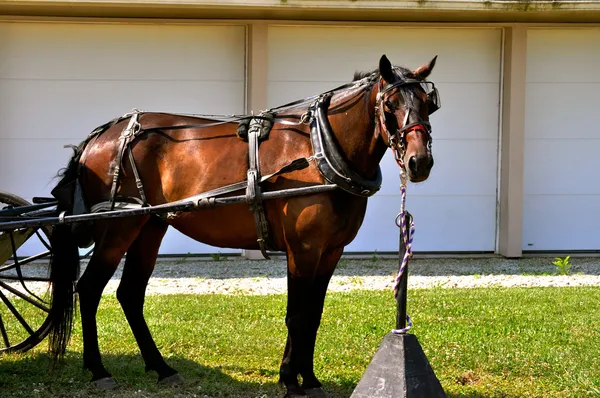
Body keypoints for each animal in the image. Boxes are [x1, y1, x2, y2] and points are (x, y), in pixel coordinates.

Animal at [45, 53, 436, 398]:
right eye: (391, 105)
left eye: (428, 104)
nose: (420, 163)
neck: (320, 150)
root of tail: (100, 137)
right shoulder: (303, 250)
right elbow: (297, 315)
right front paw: (290, 381)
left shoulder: (330, 251)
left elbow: (313, 315)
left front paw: (308, 379)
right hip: (120, 228)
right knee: (90, 289)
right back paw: (99, 370)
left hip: (150, 226)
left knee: (129, 293)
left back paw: (162, 368)